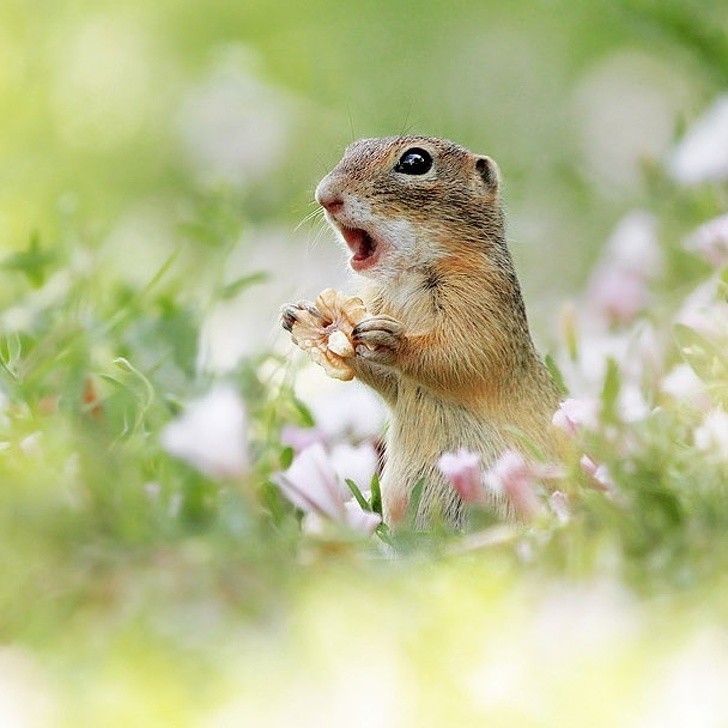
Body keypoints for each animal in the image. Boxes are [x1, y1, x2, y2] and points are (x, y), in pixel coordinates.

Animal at [282, 135, 560, 524]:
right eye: (353, 147)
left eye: (415, 161)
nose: (325, 195)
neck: (404, 278)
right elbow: (389, 381)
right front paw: (299, 318)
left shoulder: (481, 298)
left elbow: (463, 355)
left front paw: (391, 341)